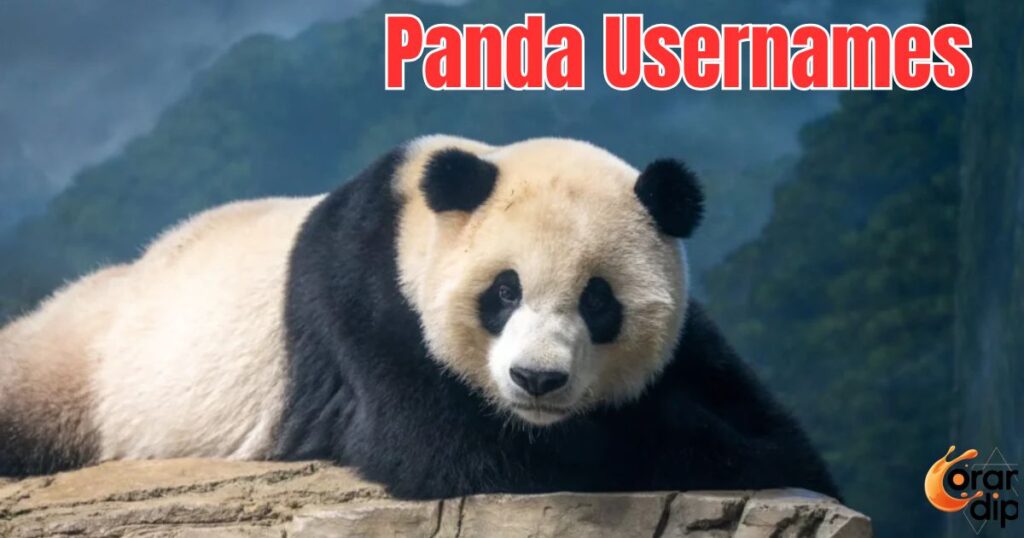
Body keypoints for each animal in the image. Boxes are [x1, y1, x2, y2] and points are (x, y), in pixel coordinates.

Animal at [0, 135, 838, 499]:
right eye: (504, 292)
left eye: (599, 300)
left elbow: (779, 432)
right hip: (82, 370)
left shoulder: (692, 338)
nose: (537, 381)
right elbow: (453, 448)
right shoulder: (367, 307)